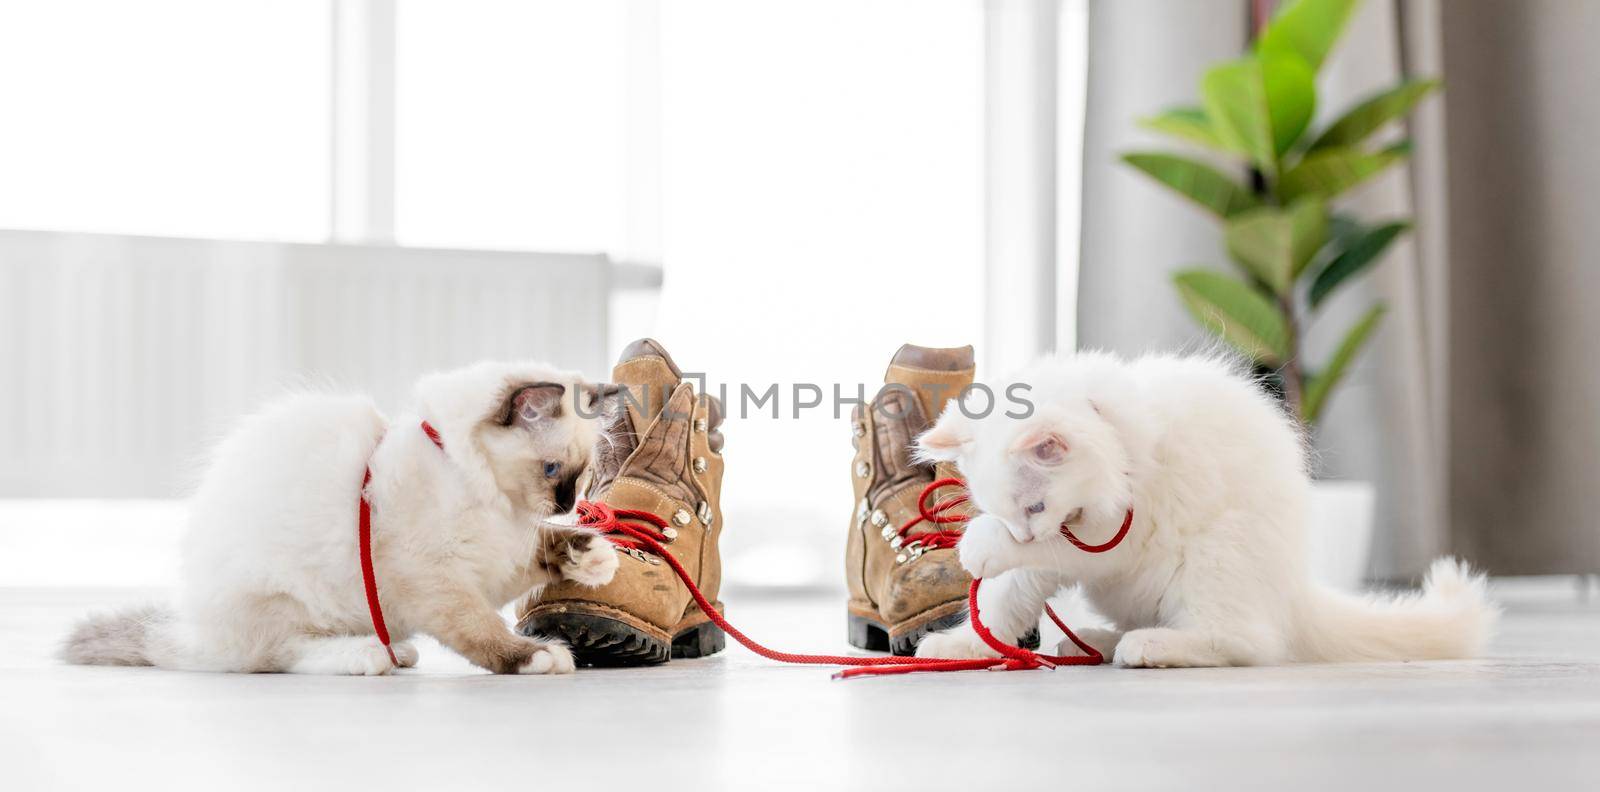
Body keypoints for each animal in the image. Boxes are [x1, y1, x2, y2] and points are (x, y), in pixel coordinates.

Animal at [59, 360, 617, 675]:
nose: (567, 504)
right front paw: (535, 655)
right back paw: (370, 657)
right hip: (286, 602)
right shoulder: (437, 579)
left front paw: (595, 556)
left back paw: (396, 652)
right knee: (275, 658)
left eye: (582, 476)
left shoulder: (496, 558)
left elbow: (546, 549)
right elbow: (481, 629)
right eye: (551, 471)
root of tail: (194, 631)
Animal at [915, 353, 1497, 668]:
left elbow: (1031, 562)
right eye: (1009, 510)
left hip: (1216, 557)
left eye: (1034, 506)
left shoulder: (1114, 537)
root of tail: (1295, 593)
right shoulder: (1053, 553)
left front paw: (979, 547)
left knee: (1245, 641)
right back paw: (1100, 640)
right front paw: (960, 644)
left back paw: (1147, 646)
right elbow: (999, 604)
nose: (1025, 533)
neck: (1120, 440)